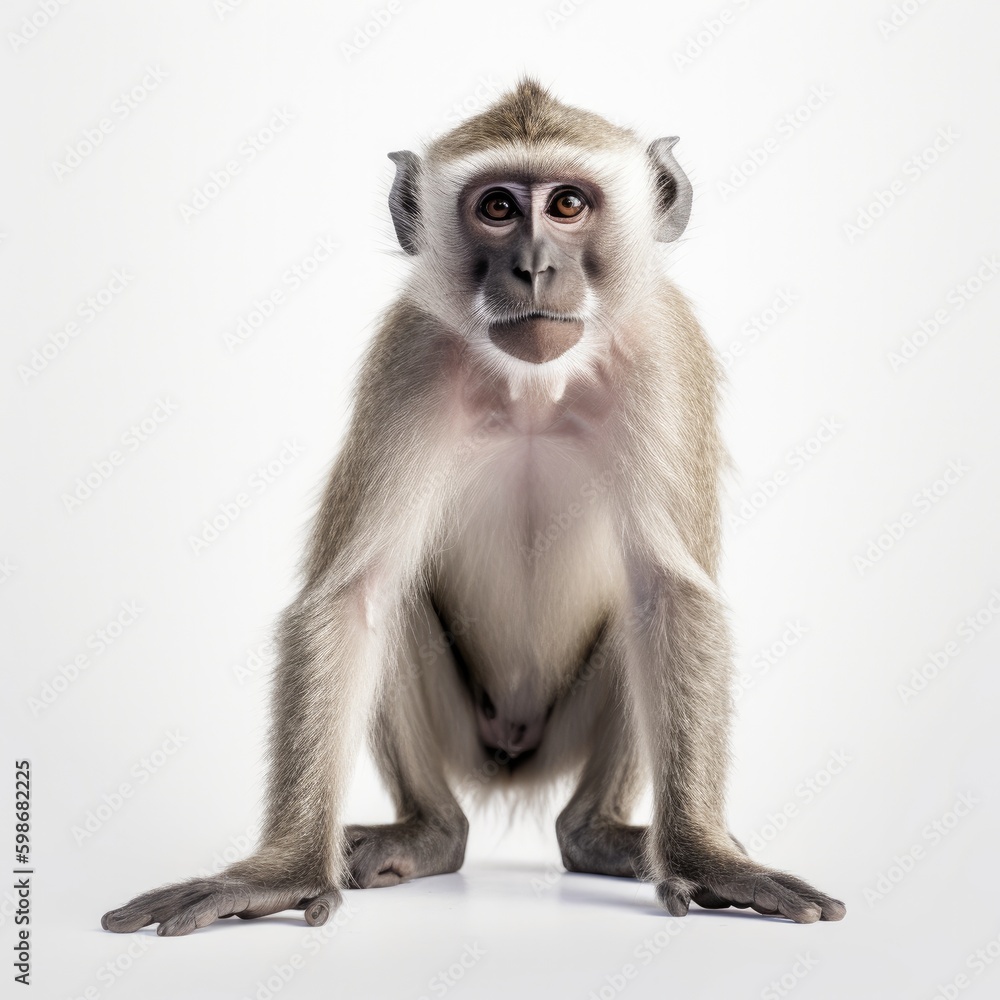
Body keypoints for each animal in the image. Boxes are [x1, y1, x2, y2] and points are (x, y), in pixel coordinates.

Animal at [102, 78, 845, 937]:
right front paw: (284, 870)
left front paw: (703, 857)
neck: (533, 390)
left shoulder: (663, 347)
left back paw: (597, 834)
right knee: (395, 606)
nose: (533, 266)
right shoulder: (409, 355)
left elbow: (668, 595)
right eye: (496, 207)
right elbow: (353, 597)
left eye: (566, 204)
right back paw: (432, 832)